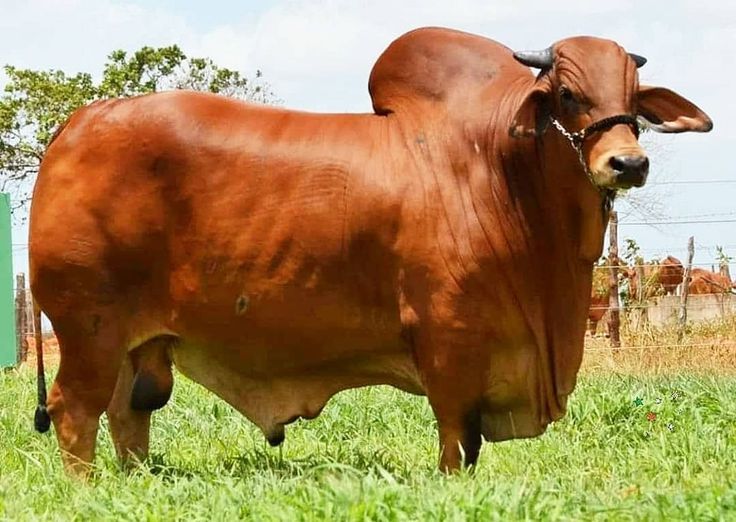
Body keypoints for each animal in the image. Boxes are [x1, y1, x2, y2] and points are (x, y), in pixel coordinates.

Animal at [29, 27, 712, 476]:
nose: (628, 163)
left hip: (132, 340)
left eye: (634, 96)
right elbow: (457, 437)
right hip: (86, 327)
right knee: (74, 409)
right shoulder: (448, 339)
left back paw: (134, 480)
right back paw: (86, 489)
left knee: (127, 412)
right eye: (568, 94)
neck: (500, 168)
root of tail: (77, 124)